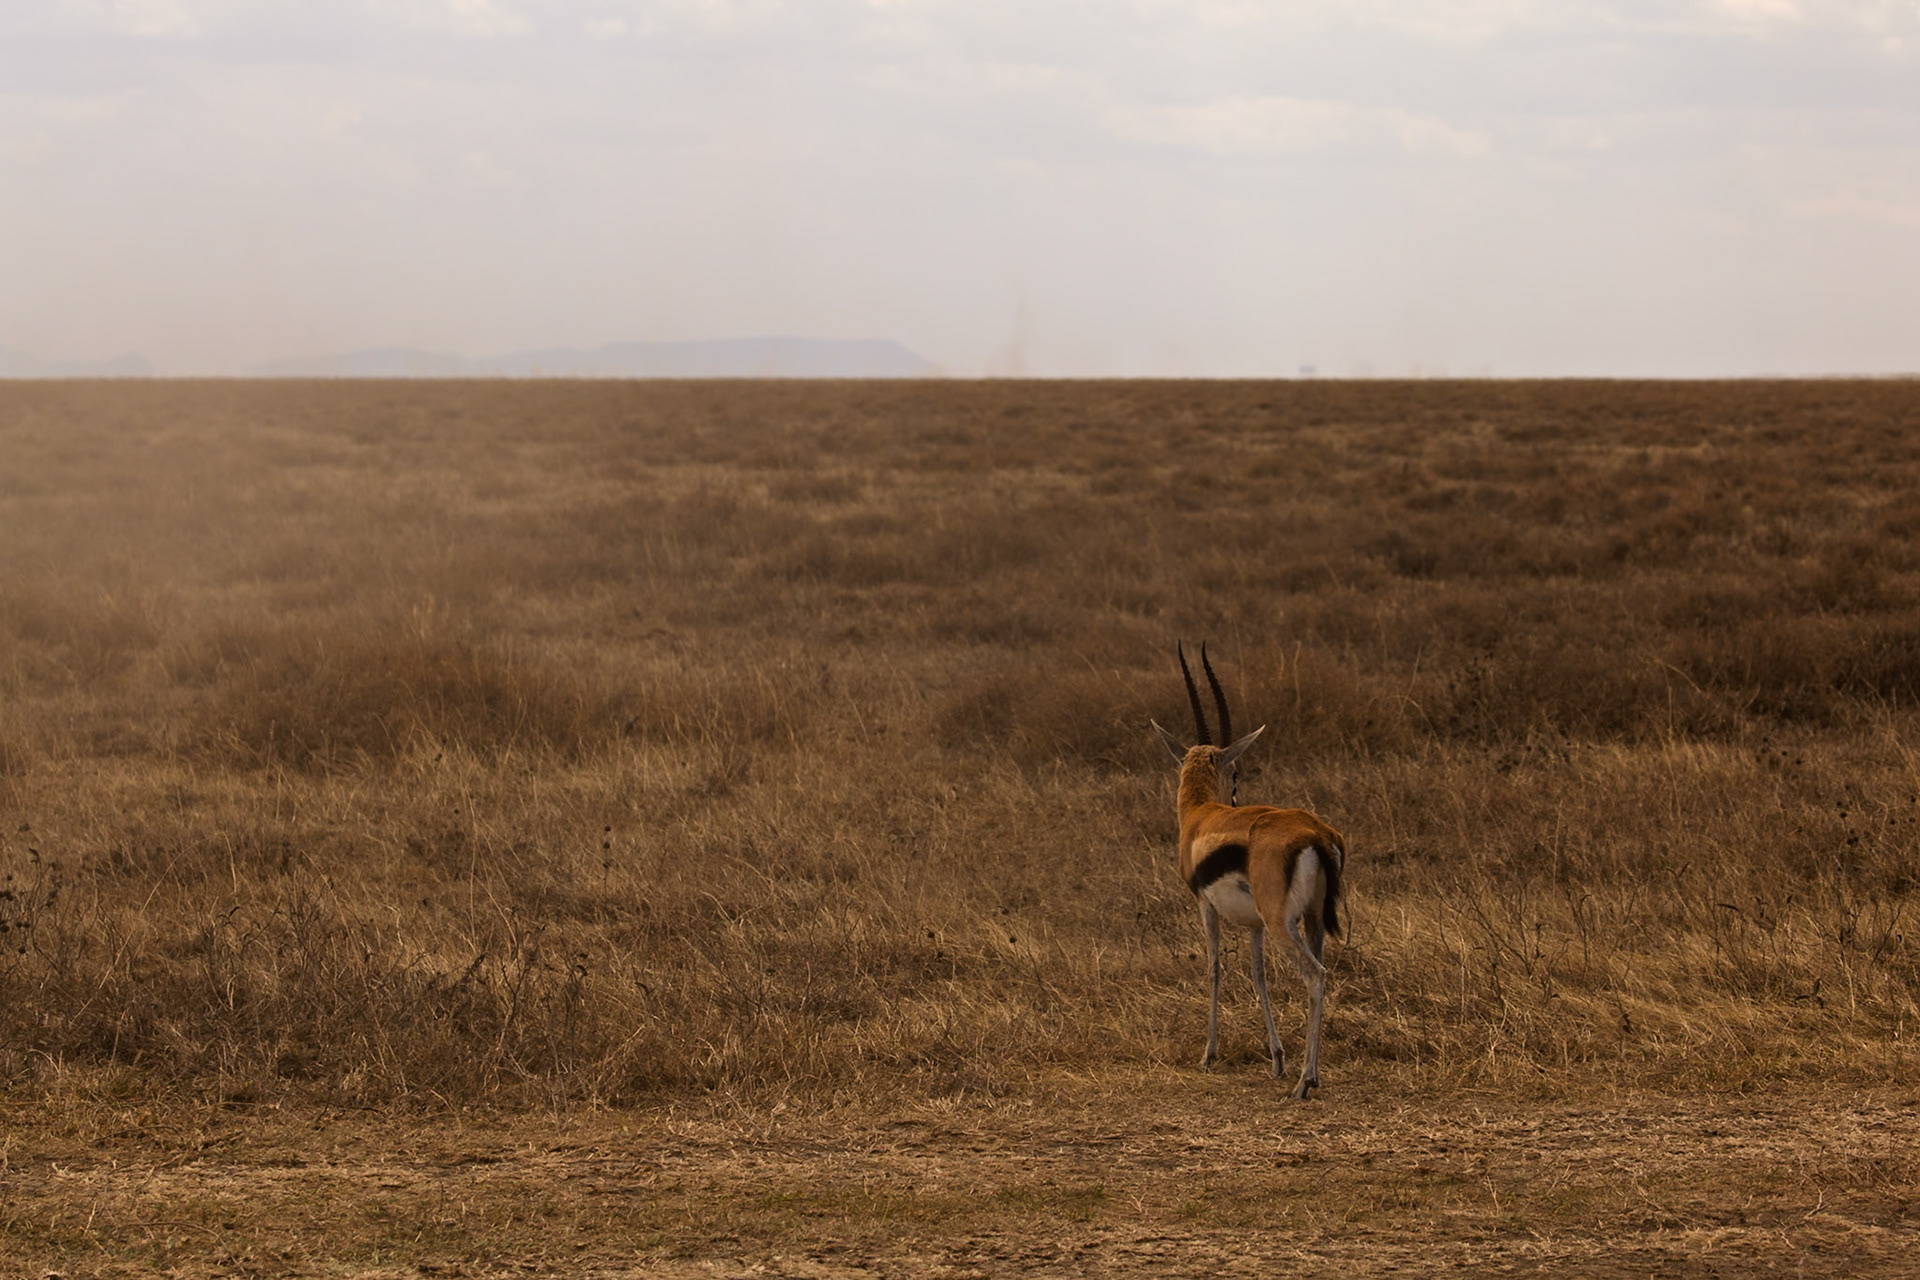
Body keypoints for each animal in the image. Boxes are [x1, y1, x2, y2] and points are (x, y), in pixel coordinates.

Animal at [1152, 643, 1346, 1100]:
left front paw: (1208, 1055)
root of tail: (1317, 832)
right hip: (1311, 921)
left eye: (1236, 773)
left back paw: (1305, 1082)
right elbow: (1259, 976)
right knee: (1318, 971)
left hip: (1283, 924)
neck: (1201, 817)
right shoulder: (1254, 925)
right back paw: (1310, 1073)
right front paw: (1276, 1059)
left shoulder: (1205, 905)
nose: (1236, 798)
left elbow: (1215, 969)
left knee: (1316, 976)